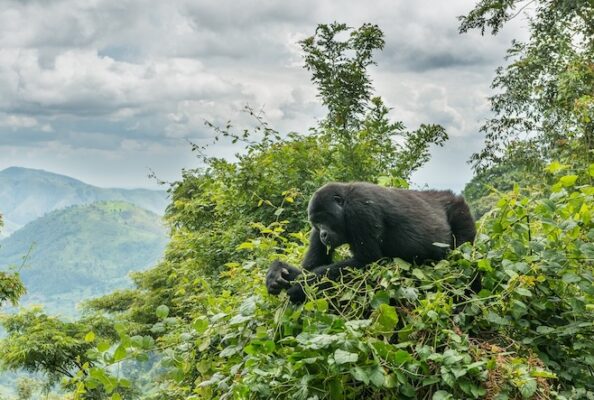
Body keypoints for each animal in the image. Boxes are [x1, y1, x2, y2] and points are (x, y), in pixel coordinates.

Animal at [266, 181, 474, 304]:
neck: (345, 200)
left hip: (461, 213)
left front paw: (301, 286)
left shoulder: (359, 209)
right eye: (316, 222)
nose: (323, 234)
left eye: (324, 218)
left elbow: (367, 262)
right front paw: (277, 272)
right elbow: (313, 265)